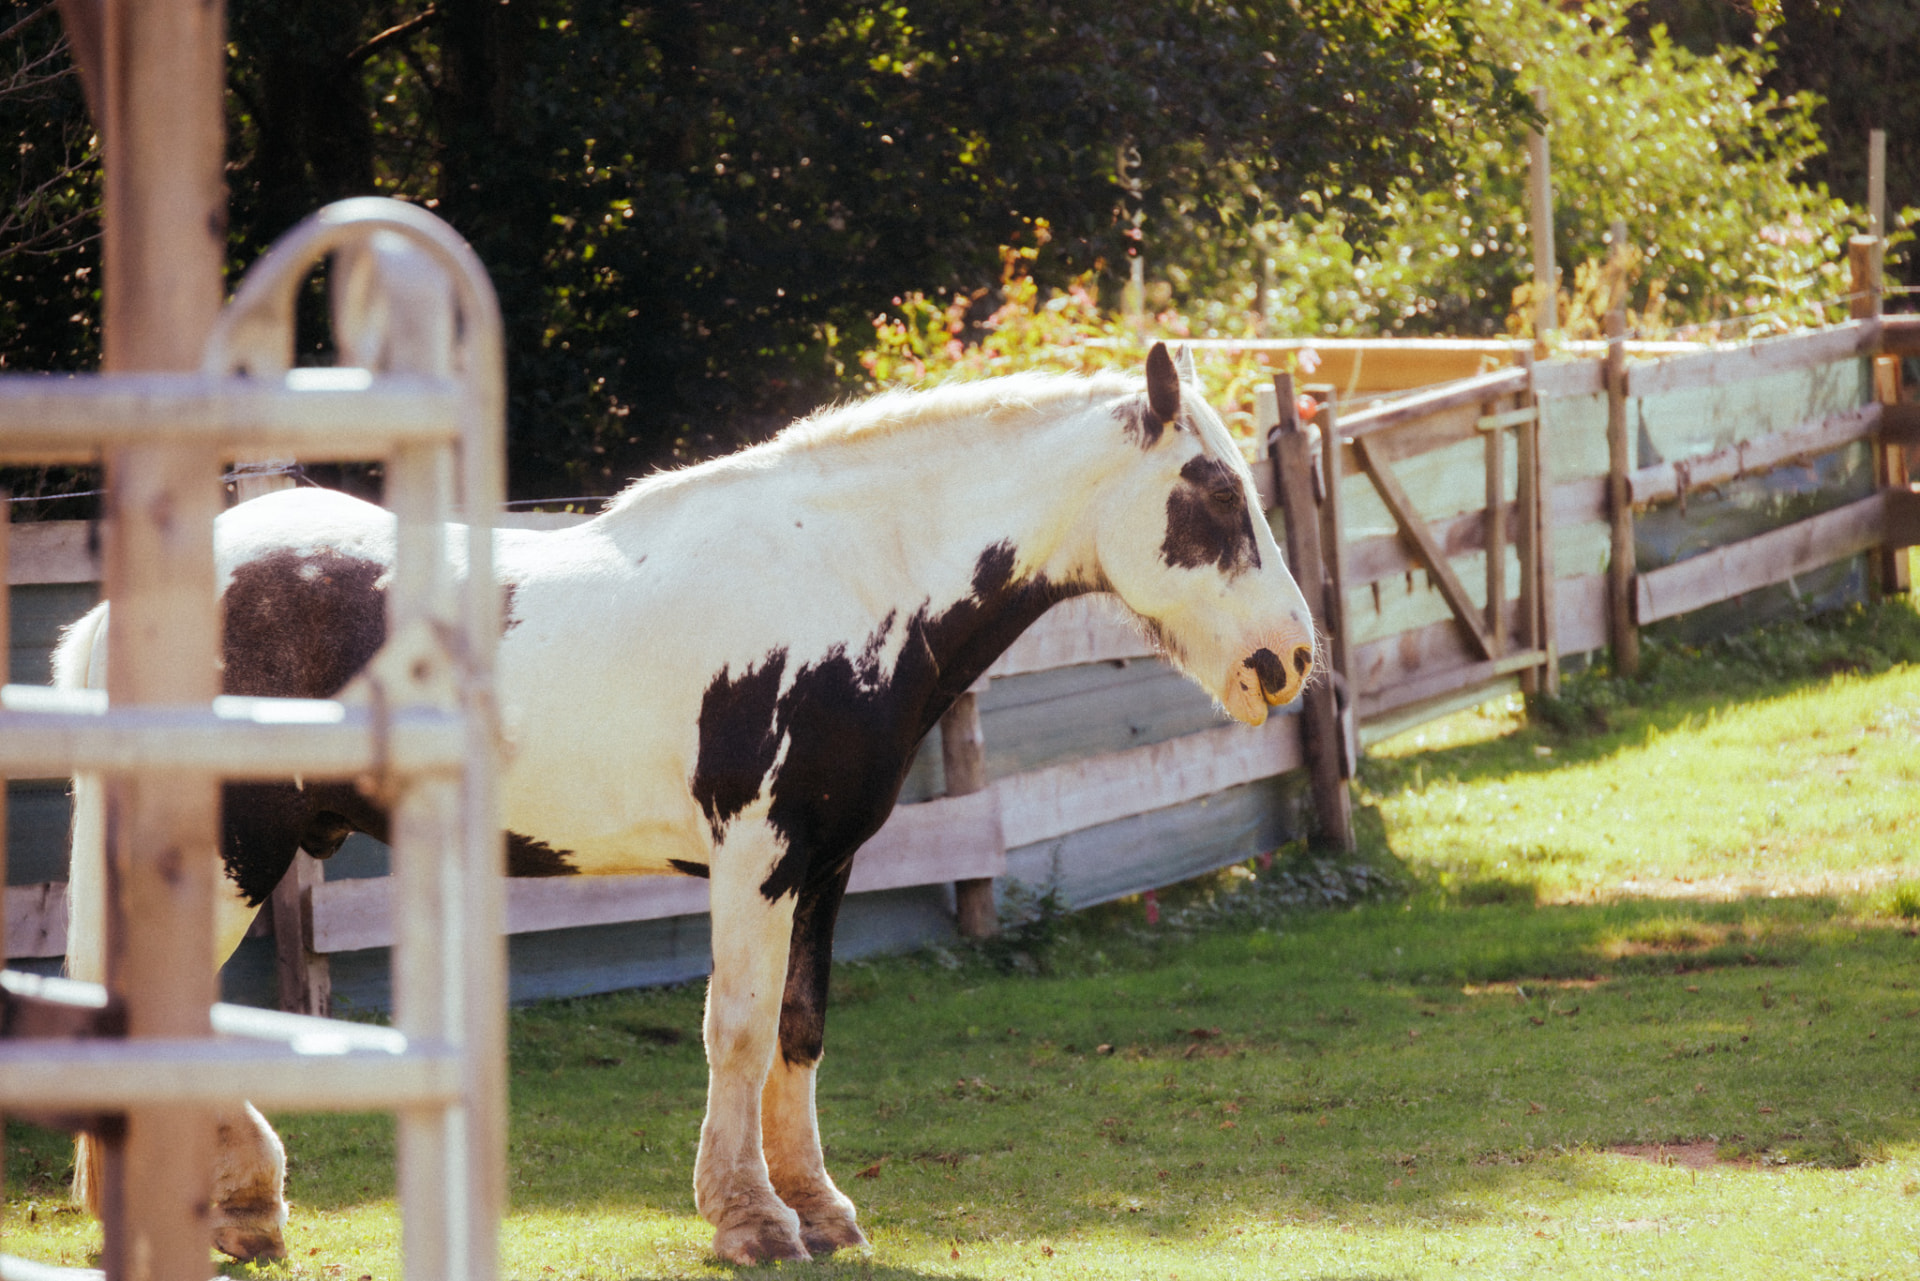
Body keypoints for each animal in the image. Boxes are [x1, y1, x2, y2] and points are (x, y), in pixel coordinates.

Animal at [61, 341, 1316, 1264]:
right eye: (1211, 494)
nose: (1290, 659)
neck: (843, 577)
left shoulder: (828, 862)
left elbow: (801, 1030)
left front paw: (819, 1208)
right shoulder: (757, 856)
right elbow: (742, 1029)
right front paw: (749, 1219)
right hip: (234, 848)